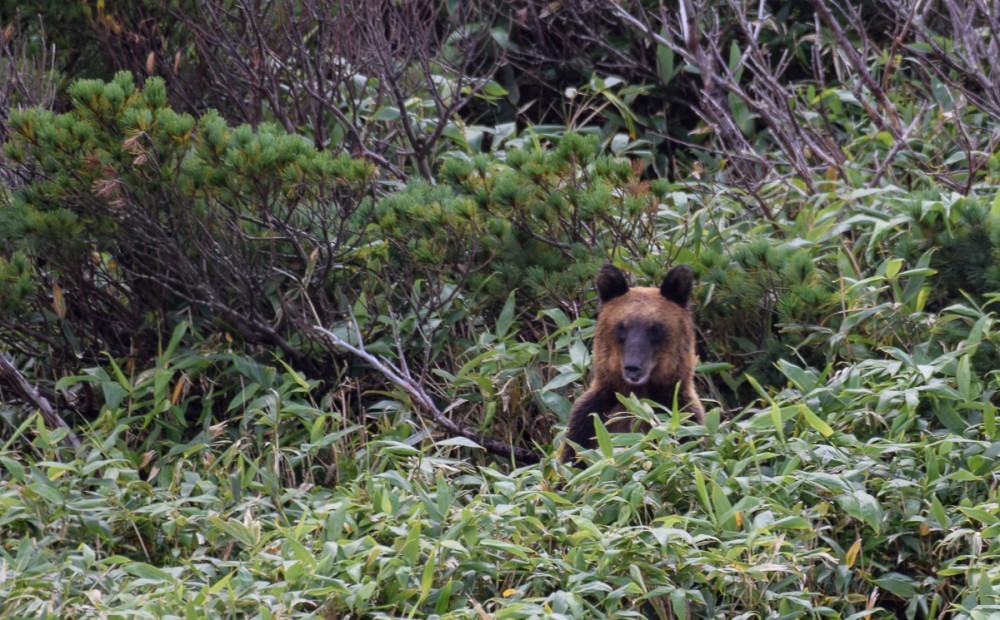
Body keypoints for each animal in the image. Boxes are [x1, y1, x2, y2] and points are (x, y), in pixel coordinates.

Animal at [564, 264, 704, 462]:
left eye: (655, 328)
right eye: (621, 326)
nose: (633, 367)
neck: (637, 398)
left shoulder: (683, 418)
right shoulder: (588, 423)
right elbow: (576, 455)